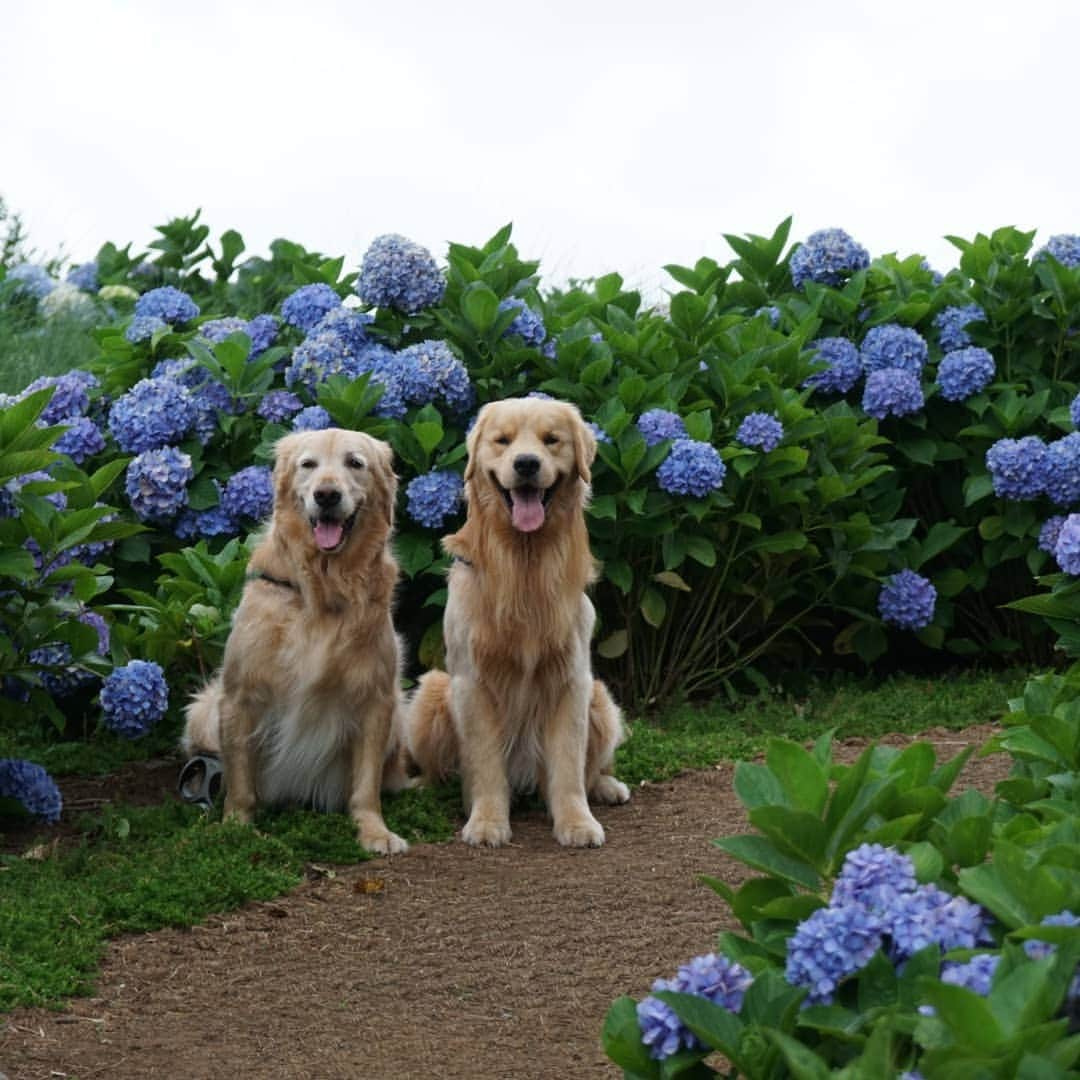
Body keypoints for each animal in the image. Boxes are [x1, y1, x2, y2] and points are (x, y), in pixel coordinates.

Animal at [181, 425, 408, 855]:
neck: (323, 588)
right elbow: (240, 777)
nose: (327, 495)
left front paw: (374, 830)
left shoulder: (377, 697)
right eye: (309, 464)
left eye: (355, 463)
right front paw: (236, 827)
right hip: (204, 708)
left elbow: (366, 783)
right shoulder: (240, 694)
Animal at [406, 395, 630, 842]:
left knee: (590, 768)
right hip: (429, 695)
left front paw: (576, 823)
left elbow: (568, 767)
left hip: (601, 700)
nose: (526, 463)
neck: (524, 564)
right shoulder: (474, 683)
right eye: (502, 440)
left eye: (551, 440)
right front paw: (487, 821)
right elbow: (486, 764)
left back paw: (607, 786)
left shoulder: (572, 681)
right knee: (440, 769)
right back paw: (422, 786)